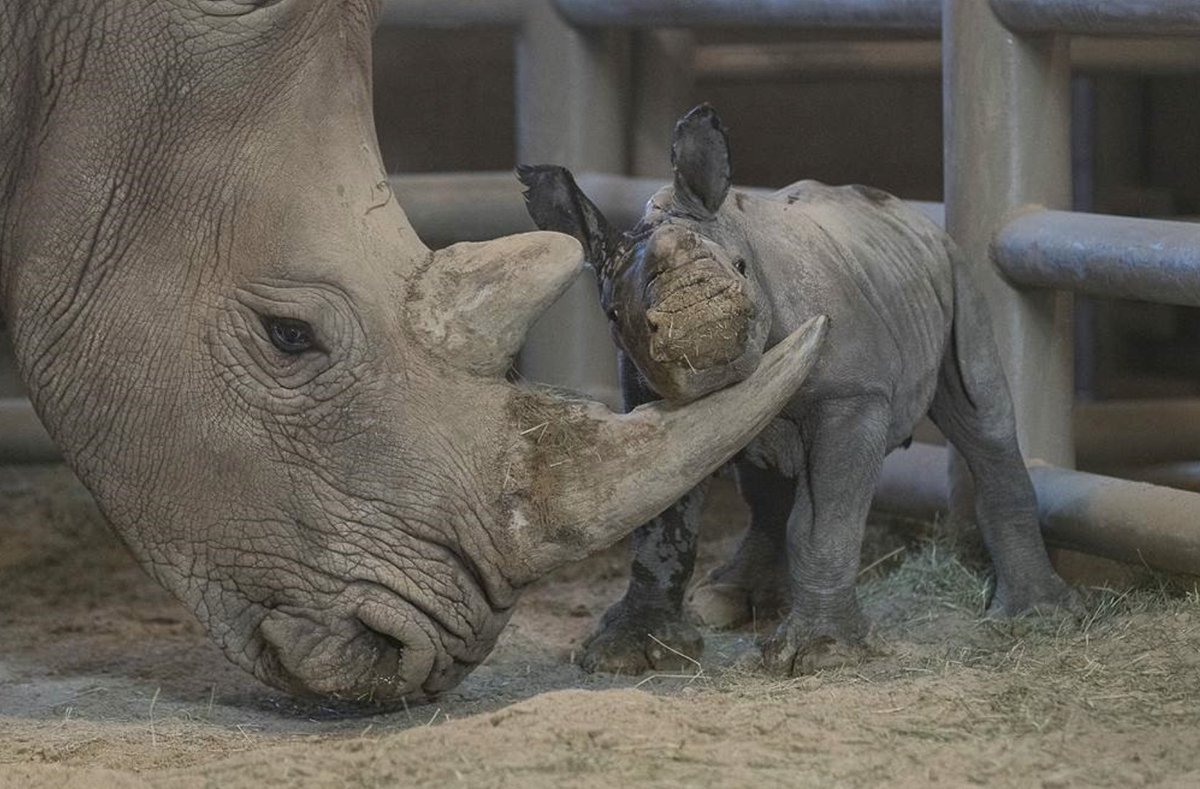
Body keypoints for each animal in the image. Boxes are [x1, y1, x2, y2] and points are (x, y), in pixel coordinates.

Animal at [519, 105, 1077, 675]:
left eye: (741, 267)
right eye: (612, 313)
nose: (701, 326)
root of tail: (911, 210)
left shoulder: (853, 397)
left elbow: (824, 521)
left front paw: (821, 653)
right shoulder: (645, 396)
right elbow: (660, 523)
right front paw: (624, 653)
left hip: (955, 271)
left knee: (981, 419)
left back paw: (1036, 618)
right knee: (766, 476)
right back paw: (729, 601)